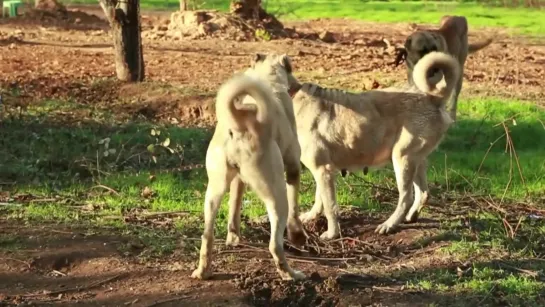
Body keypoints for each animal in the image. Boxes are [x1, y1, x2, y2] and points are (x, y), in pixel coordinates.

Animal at [191, 53, 306, 282]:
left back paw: (203, 271)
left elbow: (234, 206)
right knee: (275, 245)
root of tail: (239, 123)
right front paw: (297, 235)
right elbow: (295, 209)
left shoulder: (237, 180)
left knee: (207, 235)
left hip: (213, 191)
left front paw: (233, 237)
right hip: (276, 194)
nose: (299, 86)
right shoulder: (293, 168)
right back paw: (290, 274)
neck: (267, 77)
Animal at [284, 51, 460, 238]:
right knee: (423, 193)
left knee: (406, 198)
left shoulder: (322, 170)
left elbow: (330, 207)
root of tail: (432, 97)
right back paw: (410, 217)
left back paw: (389, 225)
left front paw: (332, 234)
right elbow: (320, 199)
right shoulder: (324, 170)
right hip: (416, 160)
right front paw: (312, 217)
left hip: (402, 158)